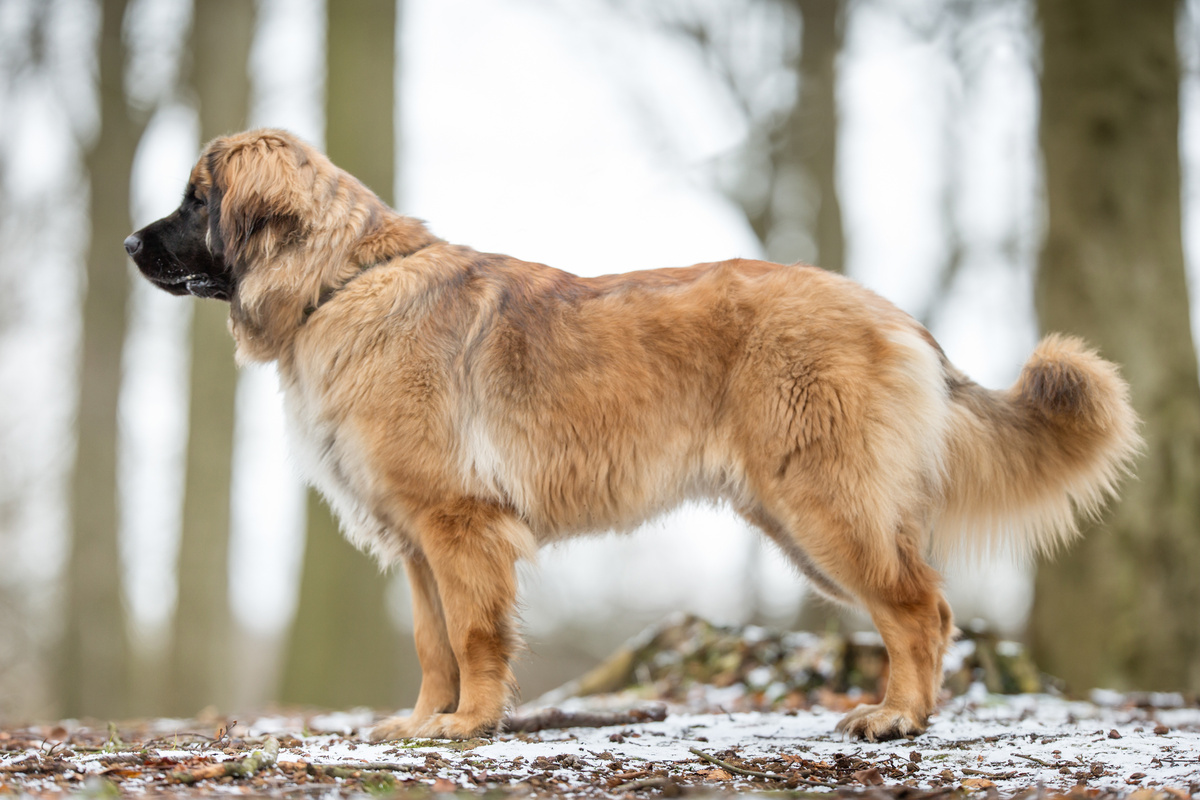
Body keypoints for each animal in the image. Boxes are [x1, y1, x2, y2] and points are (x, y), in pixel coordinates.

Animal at [124, 128, 1142, 743]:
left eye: (196, 199)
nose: (130, 246)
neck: (341, 282)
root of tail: (895, 315)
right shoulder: (415, 543)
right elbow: (431, 641)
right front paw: (424, 723)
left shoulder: (460, 526)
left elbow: (475, 635)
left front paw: (472, 724)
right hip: (802, 522)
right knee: (923, 609)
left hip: (825, 508)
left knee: (919, 608)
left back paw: (893, 719)